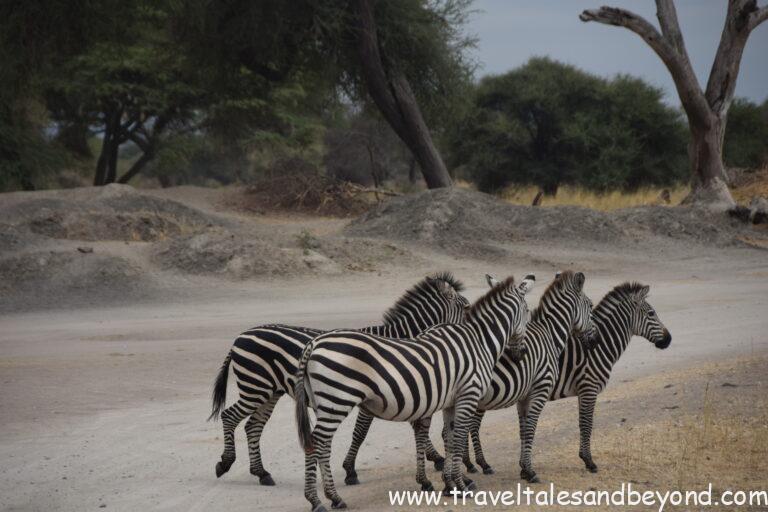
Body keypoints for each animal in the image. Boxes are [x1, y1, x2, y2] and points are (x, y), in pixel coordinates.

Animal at [208, 273, 469, 485]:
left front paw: (435, 457)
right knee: (230, 416)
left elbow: (415, 423)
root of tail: (241, 336)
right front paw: (350, 470)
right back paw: (225, 463)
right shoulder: (380, 395)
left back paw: (262, 473)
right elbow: (361, 432)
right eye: (467, 307)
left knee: (253, 426)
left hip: (269, 392)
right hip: (255, 387)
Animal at [294, 274, 536, 512]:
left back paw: (332, 498)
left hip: (324, 402)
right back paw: (318, 500)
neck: (479, 342)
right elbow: (457, 438)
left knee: (322, 444)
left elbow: (449, 437)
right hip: (337, 399)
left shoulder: (451, 401)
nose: (521, 354)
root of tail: (314, 343)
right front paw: (460, 485)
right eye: (527, 311)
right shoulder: (468, 395)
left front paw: (449, 485)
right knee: (317, 442)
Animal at [463, 280, 671, 475]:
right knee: (472, 425)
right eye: (651, 314)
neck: (600, 347)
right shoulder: (589, 388)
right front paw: (589, 461)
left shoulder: (581, 391)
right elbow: (586, 423)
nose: (669, 340)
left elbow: (580, 423)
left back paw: (470, 464)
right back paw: (482, 464)